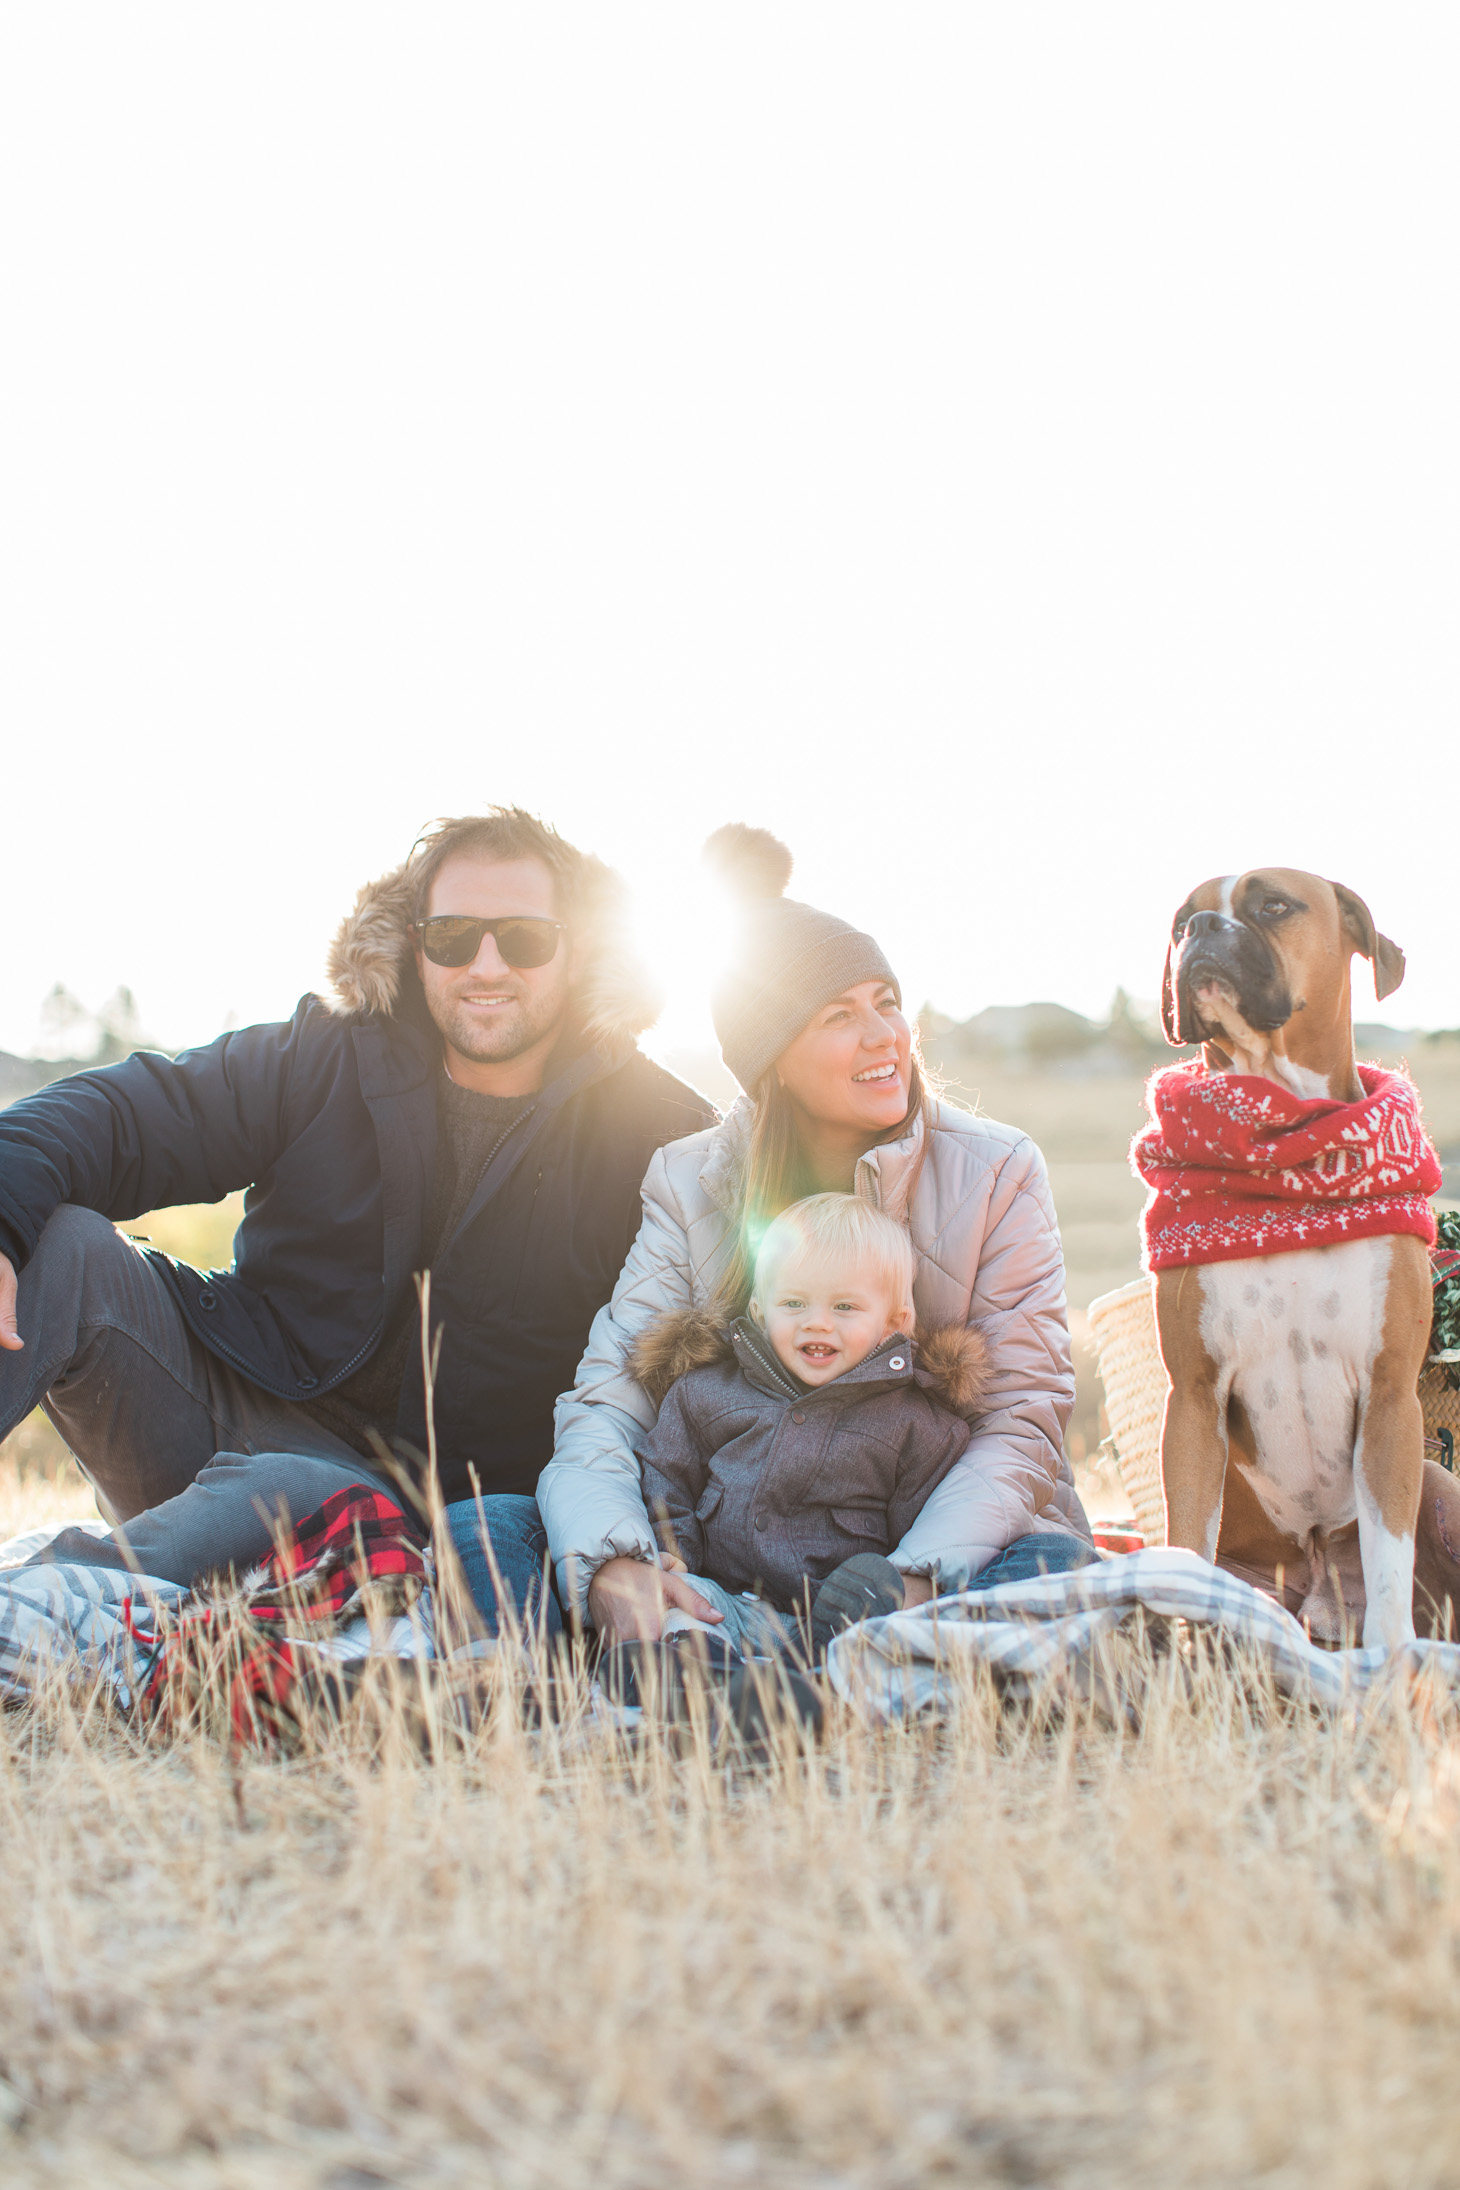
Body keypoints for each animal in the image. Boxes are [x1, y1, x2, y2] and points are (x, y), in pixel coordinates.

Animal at [1155, 871, 1435, 1646]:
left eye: (1273, 905)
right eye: (1180, 922)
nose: (1201, 932)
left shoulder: (1392, 1396)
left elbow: (1392, 1560)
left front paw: (1396, 1666)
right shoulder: (1195, 1397)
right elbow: (1187, 1541)